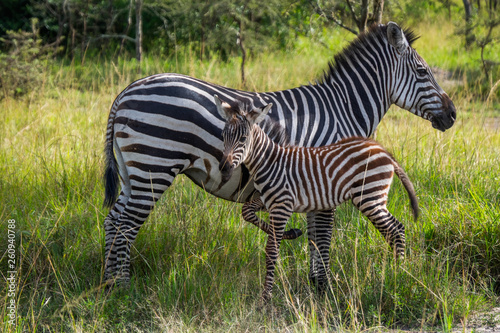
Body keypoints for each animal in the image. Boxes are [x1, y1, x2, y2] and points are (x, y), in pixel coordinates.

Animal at [215, 94, 418, 300]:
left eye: (243, 138)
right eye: (223, 136)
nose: (224, 168)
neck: (270, 163)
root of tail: (384, 151)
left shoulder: (282, 206)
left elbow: (271, 250)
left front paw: (266, 297)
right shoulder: (269, 201)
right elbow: (247, 211)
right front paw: (293, 233)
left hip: (369, 196)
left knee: (395, 229)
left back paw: (398, 273)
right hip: (373, 197)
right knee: (396, 228)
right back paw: (396, 271)